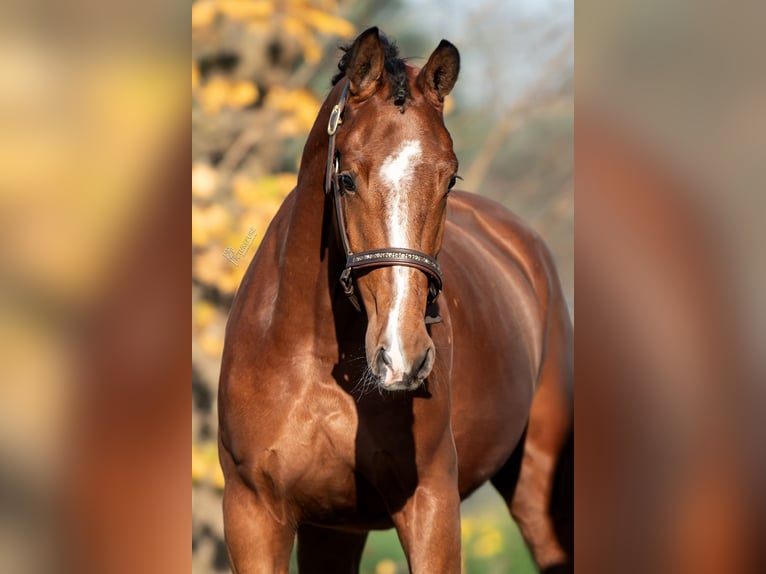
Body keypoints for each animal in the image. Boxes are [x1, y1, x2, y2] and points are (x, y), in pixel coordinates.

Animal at [218, 27, 573, 573]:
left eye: (450, 178)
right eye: (346, 178)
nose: (404, 357)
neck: (314, 358)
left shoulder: (430, 505)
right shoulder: (254, 515)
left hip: (541, 490)